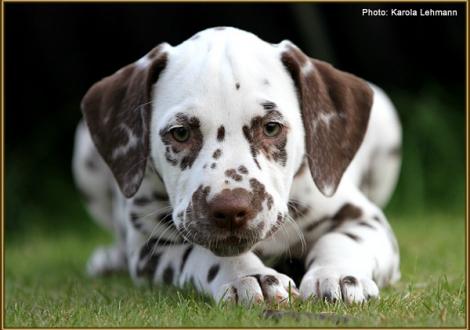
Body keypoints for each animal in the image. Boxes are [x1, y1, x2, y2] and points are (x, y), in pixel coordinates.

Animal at [72, 27, 400, 306]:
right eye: (180, 133)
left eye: (271, 127)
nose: (231, 209)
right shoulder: (152, 248)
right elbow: (203, 254)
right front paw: (249, 277)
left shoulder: (364, 218)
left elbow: (342, 240)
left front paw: (337, 275)